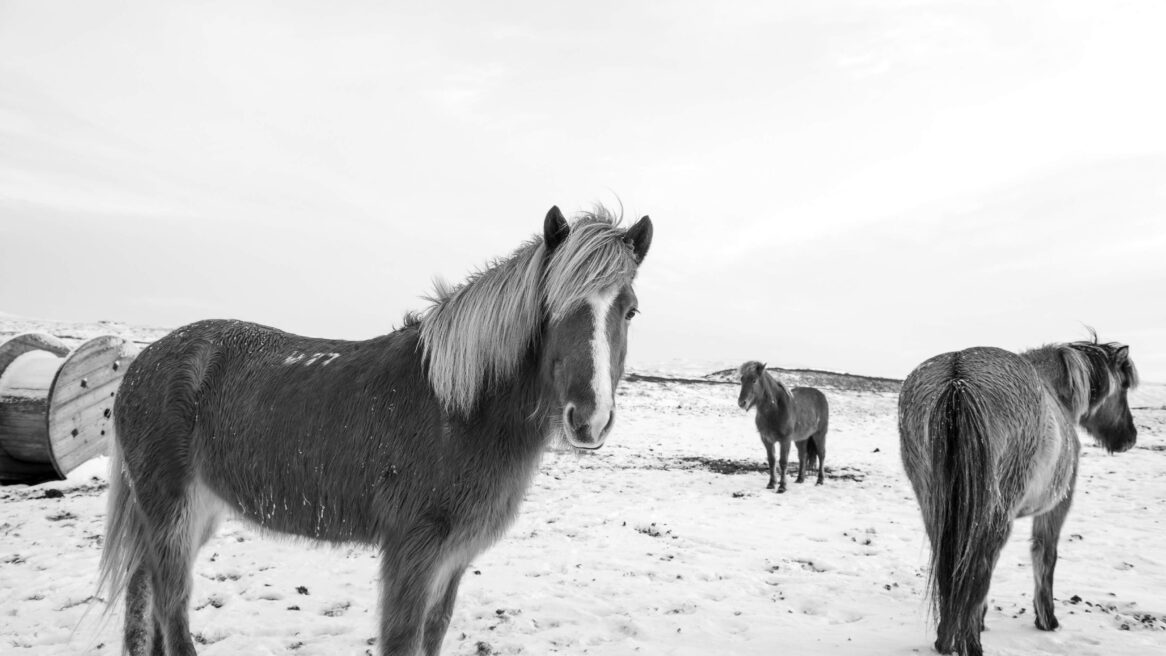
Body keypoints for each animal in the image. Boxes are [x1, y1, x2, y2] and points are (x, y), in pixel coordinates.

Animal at [101, 206, 657, 656]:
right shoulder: (412, 553)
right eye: (551, 308)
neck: (458, 410)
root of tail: (141, 362)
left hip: (198, 512)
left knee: (146, 594)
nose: (590, 419)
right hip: (172, 512)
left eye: (630, 310)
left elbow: (433, 634)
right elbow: (402, 639)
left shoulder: (454, 558)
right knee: (171, 607)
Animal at [736, 361, 830, 496]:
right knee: (803, 456)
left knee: (821, 455)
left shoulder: (785, 440)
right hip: (801, 439)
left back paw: (820, 481)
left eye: (754, 380)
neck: (775, 410)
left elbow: (783, 462)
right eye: (742, 379)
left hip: (819, 434)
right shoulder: (767, 440)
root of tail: (821, 395)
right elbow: (772, 460)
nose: (741, 403)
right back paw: (800, 479)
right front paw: (771, 484)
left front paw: (782, 487)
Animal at [900, 335, 1138, 652]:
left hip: (936, 507)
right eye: (1123, 386)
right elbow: (1045, 556)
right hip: (995, 514)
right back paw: (970, 644)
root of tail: (958, 378)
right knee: (979, 570)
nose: (1129, 437)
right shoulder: (1057, 506)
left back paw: (945, 639)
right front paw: (1047, 620)